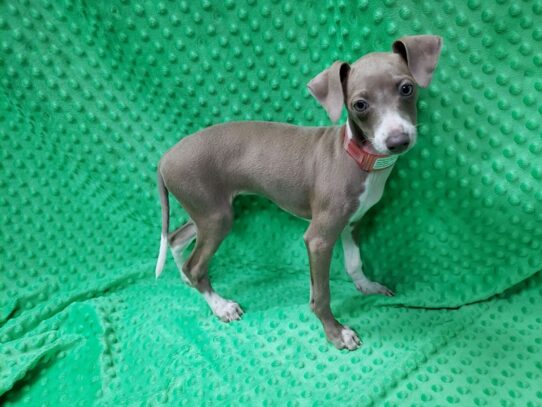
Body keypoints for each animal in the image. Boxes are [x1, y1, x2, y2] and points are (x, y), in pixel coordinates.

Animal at [155, 34, 444, 350]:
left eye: (407, 88)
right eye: (359, 105)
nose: (397, 141)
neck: (356, 157)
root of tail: (165, 158)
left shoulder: (351, 223)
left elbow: (353, 262)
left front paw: (365, 285)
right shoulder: (318, 238)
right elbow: (322, 295)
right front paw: (336, 332)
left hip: (206, 211)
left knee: (176, 239)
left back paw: (185, 279)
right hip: (216, 216)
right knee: (196, 264)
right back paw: (220, 305)